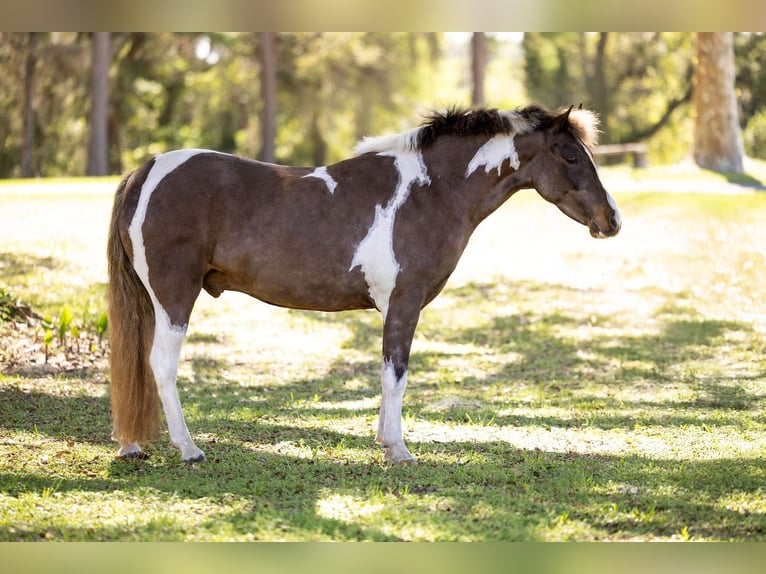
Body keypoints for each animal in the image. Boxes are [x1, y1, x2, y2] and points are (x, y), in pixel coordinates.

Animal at [107, 104, 621, 464]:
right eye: (570, 155)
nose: (611, 219)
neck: (430, 190)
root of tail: (145, 171)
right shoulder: (403, 304)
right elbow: (396, 373)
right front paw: (397, 449)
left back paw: (133, 445)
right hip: (175, 298)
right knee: (161, 366)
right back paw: (189, 448)